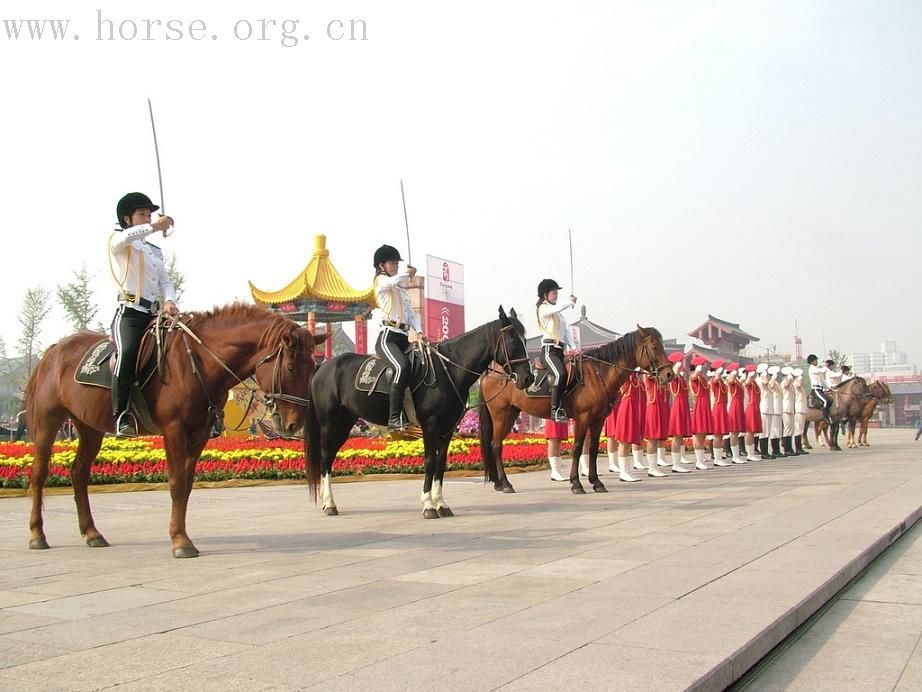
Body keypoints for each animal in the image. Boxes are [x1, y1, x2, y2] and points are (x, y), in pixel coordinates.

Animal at [25, 302, 326, 556]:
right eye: (290, 367)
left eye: (313, 366)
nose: (294, 423)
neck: (201, 363)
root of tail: (53, 351)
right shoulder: (173, 430)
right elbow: (176, 483)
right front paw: (180, 541)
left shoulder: (199, 434)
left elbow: (187, 485)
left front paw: (181, 536)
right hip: (48, 419)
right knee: (39, 473)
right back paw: (37, 535)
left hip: (89, 427)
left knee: (79, 473)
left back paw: (91, 533)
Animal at [306, 308, 528, 520]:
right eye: (513, 340)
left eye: (525, 340)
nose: (528, 378)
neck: (447, 371)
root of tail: (323, 366)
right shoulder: (430, 424)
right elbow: (429, 462)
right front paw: (428, 505)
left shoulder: (448, 428)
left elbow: (441, 463)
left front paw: (441, 504)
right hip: (329, 423)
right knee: (325, 456)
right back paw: (329, 504)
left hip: (345, 422)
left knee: (330, 457)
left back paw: (327, 501)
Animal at [474, 326, 668, 494]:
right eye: (654, 346)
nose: (669, 374)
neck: (598, 373)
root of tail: (490, 372)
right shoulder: (583, 418)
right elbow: (577, 448)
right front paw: (576, 483)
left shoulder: (598, 420)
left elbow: (593, 450)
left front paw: (596, 482)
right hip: (501, 415)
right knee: (496, 445)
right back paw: (505, 483)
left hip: (511, 414)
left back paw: (499, 483)